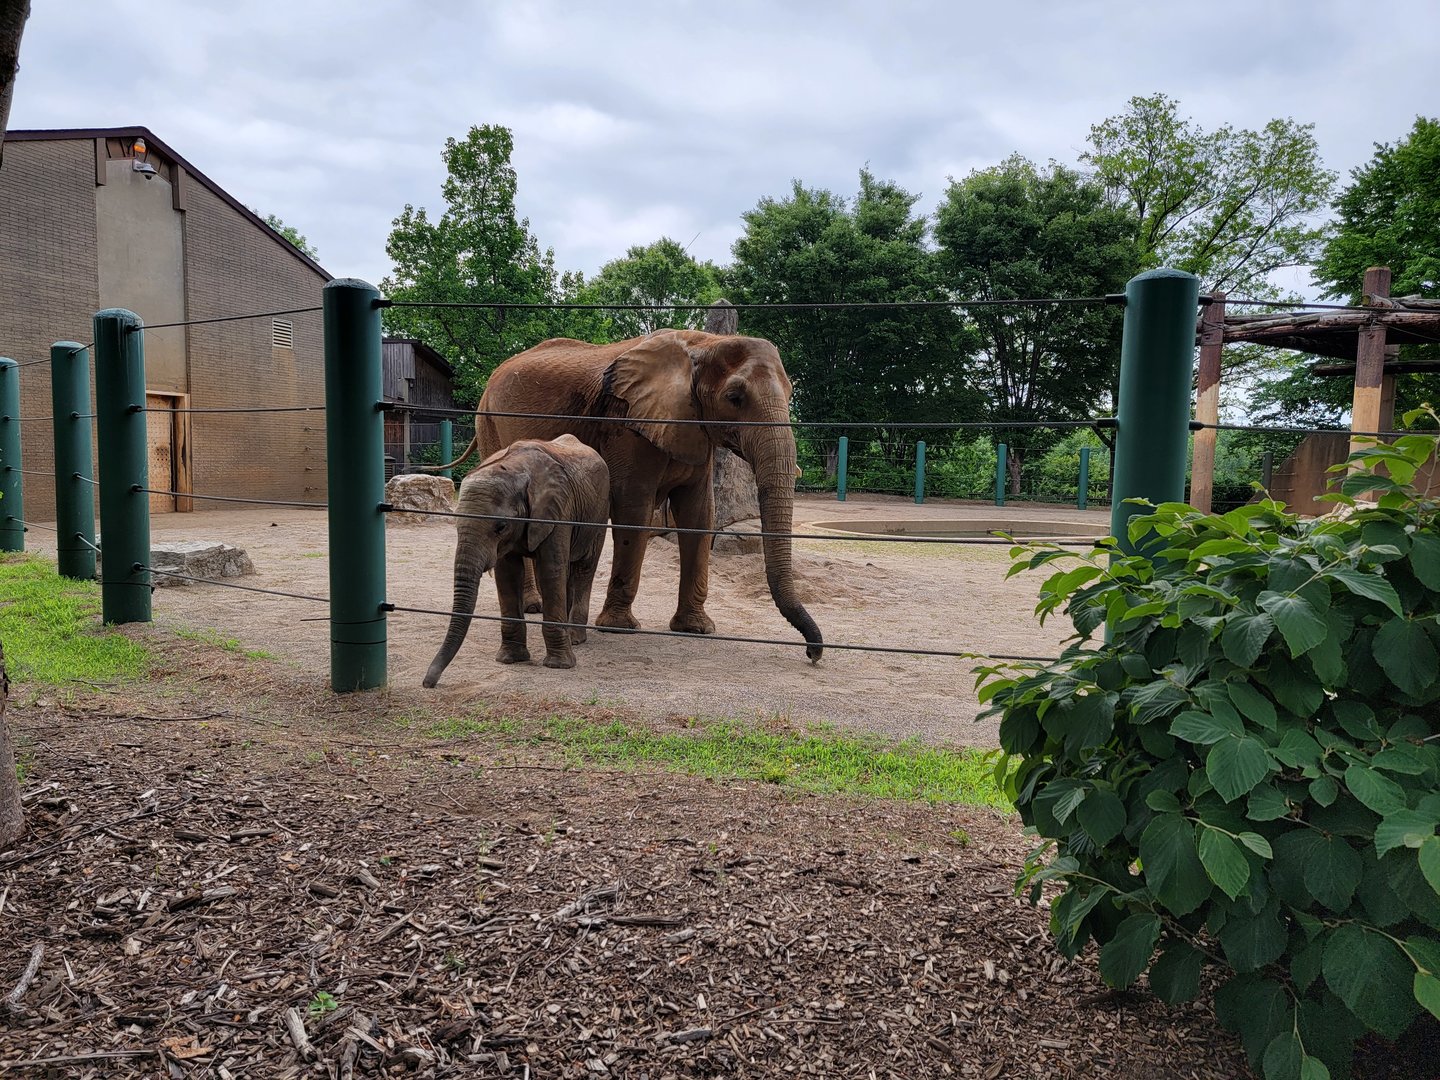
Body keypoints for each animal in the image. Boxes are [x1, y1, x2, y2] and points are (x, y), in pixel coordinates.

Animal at [423, 434, 609, 687]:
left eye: (500, 526)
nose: (428, 682)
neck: (514, 467)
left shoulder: (559, 510)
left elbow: (551, 570)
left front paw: (559, 665)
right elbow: (508, 574)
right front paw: (510, 660)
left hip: (599, 512)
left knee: (584, 568)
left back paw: (575, 638)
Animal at [439, 329, 824, 661]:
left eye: (791, 395)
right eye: (735, 398)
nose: (812, 653)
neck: (703, 342)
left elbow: (699, 514)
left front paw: (696, 629)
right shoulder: (625, 423)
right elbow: (633, 509)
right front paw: (619, 628)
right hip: (489, 423)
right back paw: (534, 607)